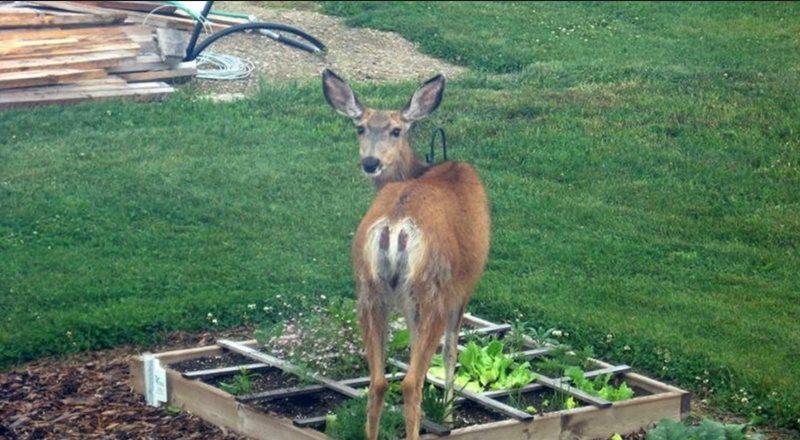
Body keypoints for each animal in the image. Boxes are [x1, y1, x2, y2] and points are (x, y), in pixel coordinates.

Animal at [322, 69, 490, 440]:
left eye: (395, 130)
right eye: (360, 128)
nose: (370, 162)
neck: (422, 169)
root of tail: (395, 224)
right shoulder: (464, 286)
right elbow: (451, 350)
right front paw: (448, 418)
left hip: (368, 287)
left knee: (378, 382)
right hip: (432, 286)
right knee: (411, 381)